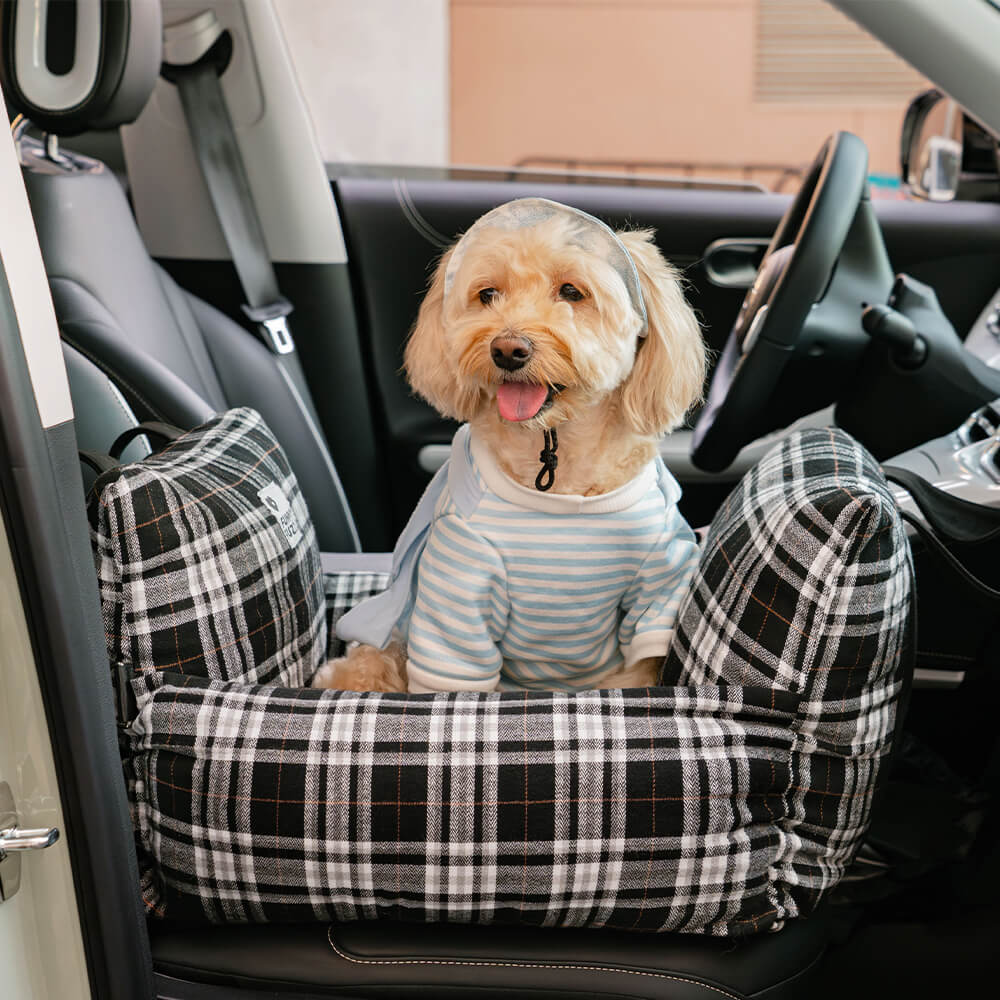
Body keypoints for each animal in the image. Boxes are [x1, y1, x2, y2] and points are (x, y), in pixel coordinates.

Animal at [310, 196, 704, 696]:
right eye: (487, 294)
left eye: (572, 291)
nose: (508, 350)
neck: (556, 465)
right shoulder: (458, 583)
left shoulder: (658, 582)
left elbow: (640, 665)